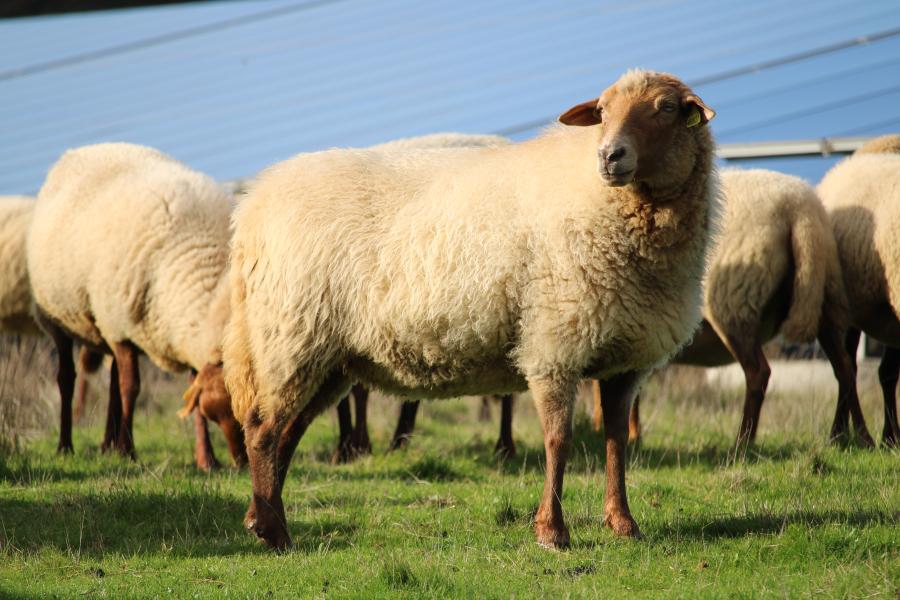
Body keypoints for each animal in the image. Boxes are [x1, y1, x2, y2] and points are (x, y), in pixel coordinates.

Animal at [28, 142, 246, 468]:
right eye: (218, 412)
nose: (242, 461)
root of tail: (83, 149)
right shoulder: (121, 326)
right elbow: (132, 388)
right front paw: (127, 451)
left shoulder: (177, 333)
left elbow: (185, 391)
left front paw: (206, 459)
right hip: (60, 320)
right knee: (68, 379)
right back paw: (67, 445)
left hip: (106, 326)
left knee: (113, 379)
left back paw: (106, 443)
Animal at [223, 68, 716, 552]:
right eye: (602, 110)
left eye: (665, 108)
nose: (610, 156)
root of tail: (253, 206)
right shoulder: (555, 341)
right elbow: (559, 439)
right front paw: (552, 531)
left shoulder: (627, 358)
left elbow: (616, 441)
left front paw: (623, 524)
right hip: (290, 335)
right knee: (263, 430)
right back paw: (274, 531)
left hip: (328, 358)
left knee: (287, 433)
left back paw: (262, 520)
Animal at [596, 168, 876, 446]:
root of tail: (801, 211)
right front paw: (622, 432)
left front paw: (623, 434)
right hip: (826, 301)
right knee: (845, 369)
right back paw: (855, 437)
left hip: (735, 304)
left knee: (758, 373)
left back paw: (743, 442)